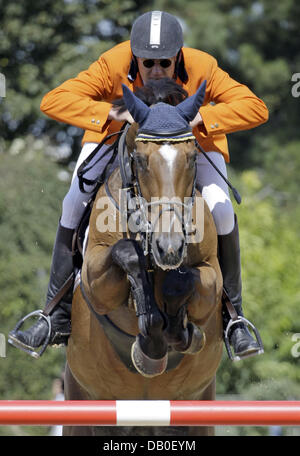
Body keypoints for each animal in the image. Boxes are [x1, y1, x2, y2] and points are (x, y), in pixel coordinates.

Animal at [63, 79, 223, 438]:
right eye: (140, 159)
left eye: (192, 157)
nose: (169, 247)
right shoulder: (94, 279)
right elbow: (126, 254)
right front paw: (150, 334)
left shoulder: (211, 279)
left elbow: (181, 281)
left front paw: (177, 332)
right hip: (82, 404)